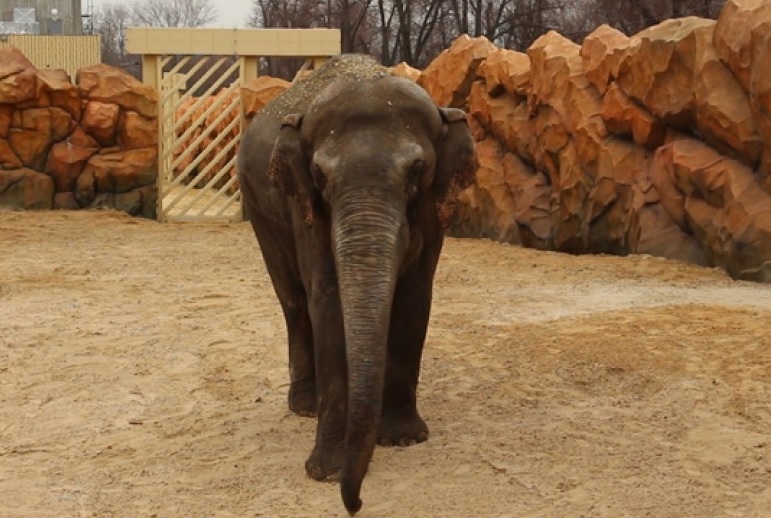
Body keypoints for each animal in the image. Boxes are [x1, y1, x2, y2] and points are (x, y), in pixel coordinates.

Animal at [235, 52, 476, 516]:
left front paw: (402, 439)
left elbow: (415, 295)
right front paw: (326, 471)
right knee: (294, 302)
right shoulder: (304, 205)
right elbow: (327, 302)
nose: (356, 503)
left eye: (417, 168)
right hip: (258, 205)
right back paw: (305, 408)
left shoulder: (433, 210)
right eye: (318, 173)